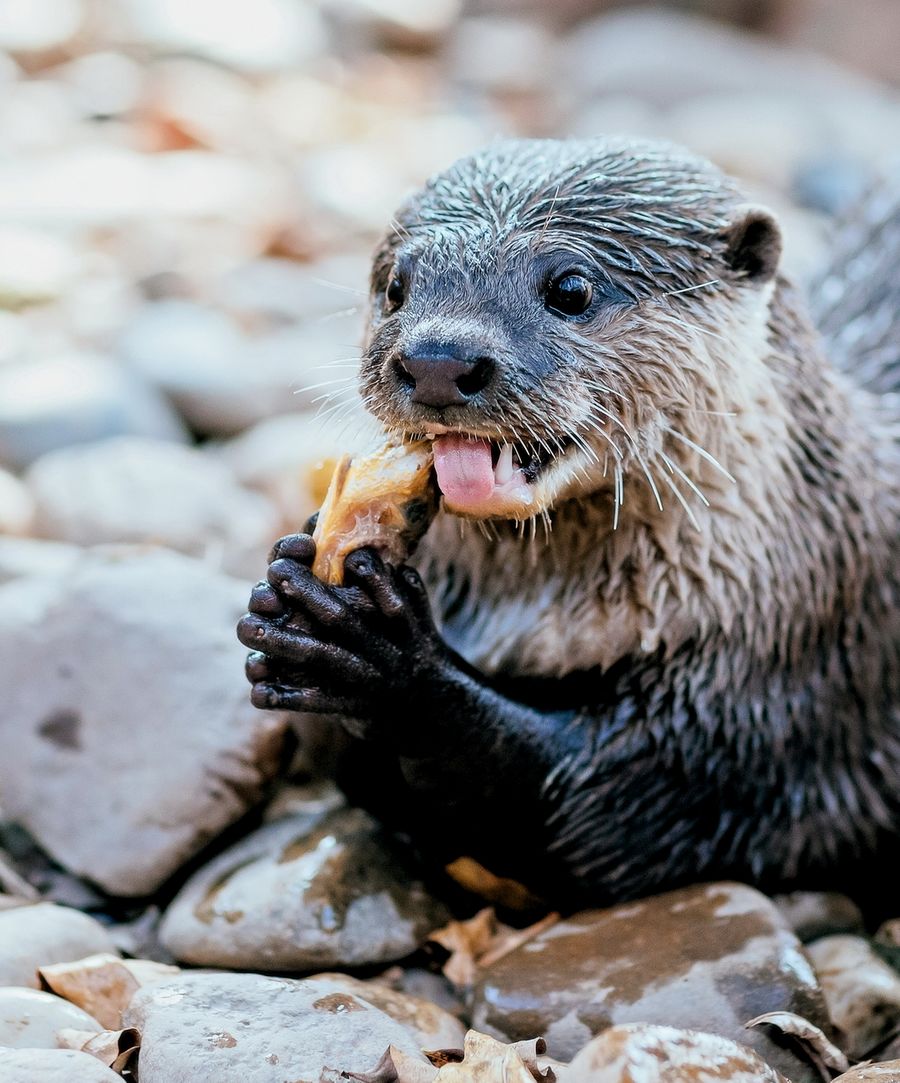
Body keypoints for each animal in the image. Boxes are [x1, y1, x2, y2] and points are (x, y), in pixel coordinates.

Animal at [237, 139, 900, 909]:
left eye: (572, 288)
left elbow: (604, 810)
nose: (438, 360)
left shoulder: (773, 685)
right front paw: (289, 587)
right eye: (396, 286)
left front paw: (386, 656)